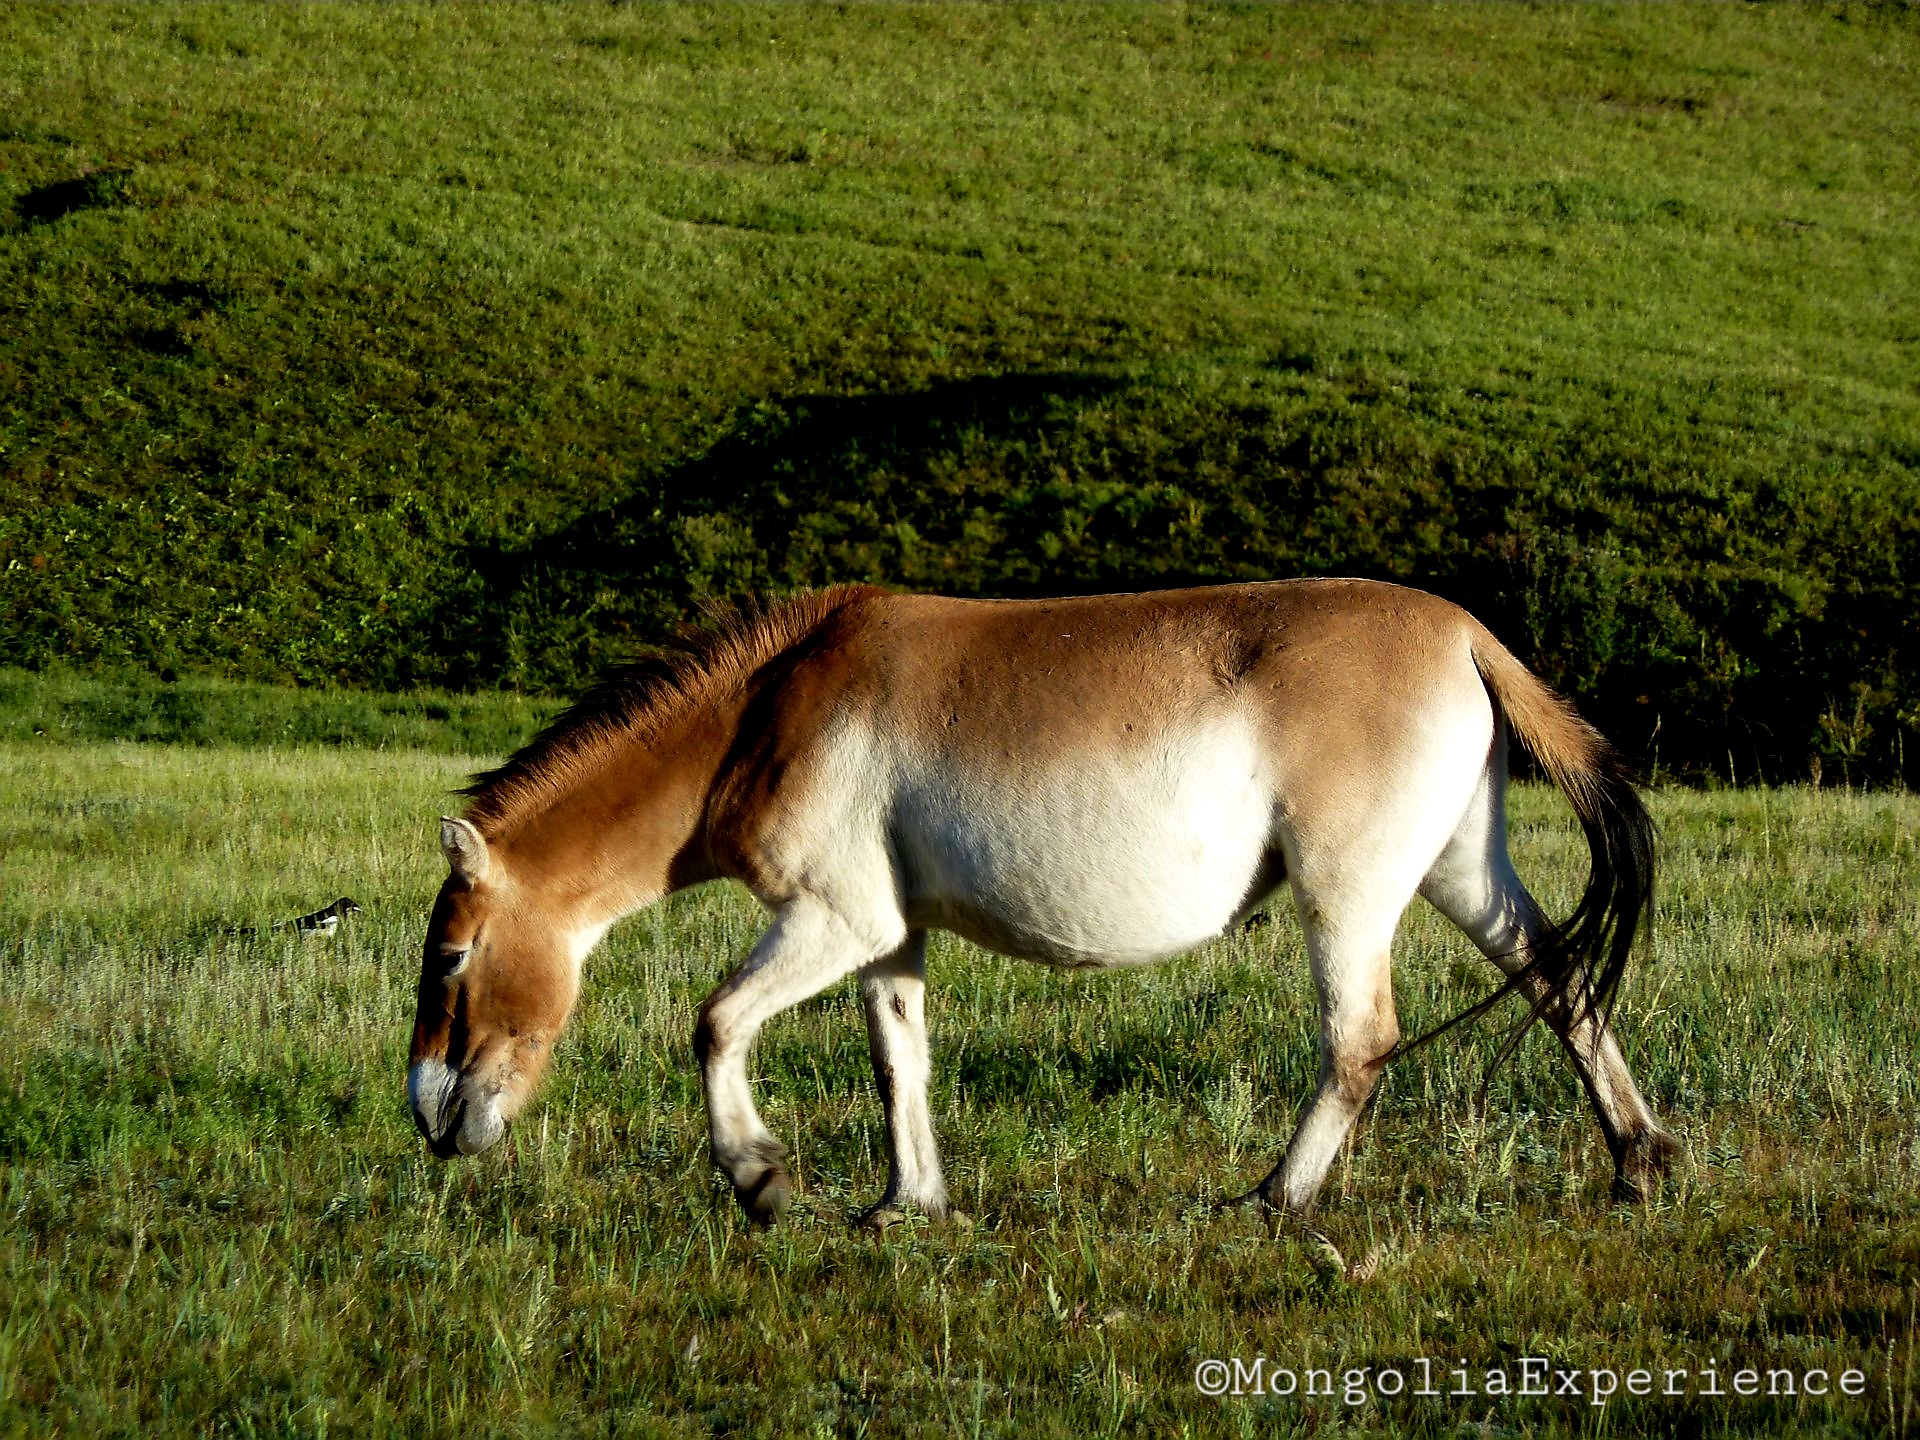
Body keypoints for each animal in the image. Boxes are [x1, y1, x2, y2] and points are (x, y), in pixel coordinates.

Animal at [408, 580, 1677, 1228]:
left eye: (453, 959)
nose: (431, 1117)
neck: (770, 705)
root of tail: (1467, 633)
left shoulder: (834, 921)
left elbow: (716, 1023)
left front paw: (760, 1178)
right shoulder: (890, 936)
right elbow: (899, 1063)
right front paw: (908, 1202)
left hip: (1348, 894)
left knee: (1359, 1040)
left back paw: (1273, 1197)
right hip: (1463, 875)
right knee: (1562, 981)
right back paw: (1638, 1159)